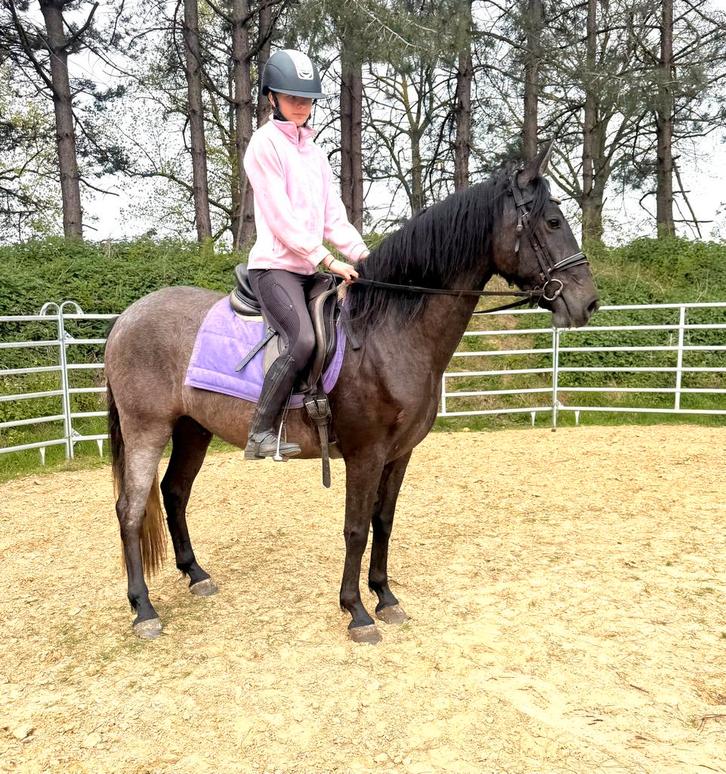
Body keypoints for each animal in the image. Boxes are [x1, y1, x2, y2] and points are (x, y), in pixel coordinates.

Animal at [105, 144, 599, 643]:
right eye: (552, 222)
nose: (588, 302)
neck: (387, 331)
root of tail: (127, 317)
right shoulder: (366, 453)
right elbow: (356, 528)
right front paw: (356, 611)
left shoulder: (399, 454)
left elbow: (383, 522)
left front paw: (386, 597)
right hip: (147, 428)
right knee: (130, 509)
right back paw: (143, 609)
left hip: (192, 429)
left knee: (174, 492)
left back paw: (196, 575)